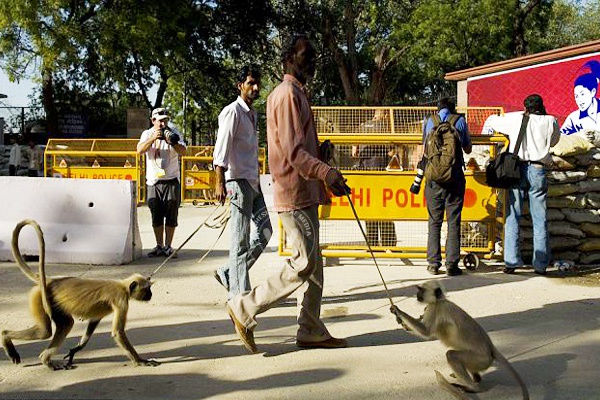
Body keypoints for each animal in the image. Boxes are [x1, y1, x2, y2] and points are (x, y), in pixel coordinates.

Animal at [1, 220, 161, 370]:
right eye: (147, 290)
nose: (151, 295)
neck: (123, 286)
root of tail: (52, 280)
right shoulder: (121, 299)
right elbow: (117, 332)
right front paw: (140, 361)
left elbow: (94, 321)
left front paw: (75, 350)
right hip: (40, 297)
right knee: (46, 331)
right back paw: (8, 337)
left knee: (61, 325)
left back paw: (43, 358)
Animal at [390, 282, 528, 400]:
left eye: (421, 290)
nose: (417, 295)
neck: (440, 300)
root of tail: (490, 347)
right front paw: (400, 321)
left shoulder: (434, 309)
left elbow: (425, 332)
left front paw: (398, 311)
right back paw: (474, 379)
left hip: (480, 359)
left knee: (451, 355)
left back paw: (472, 387)